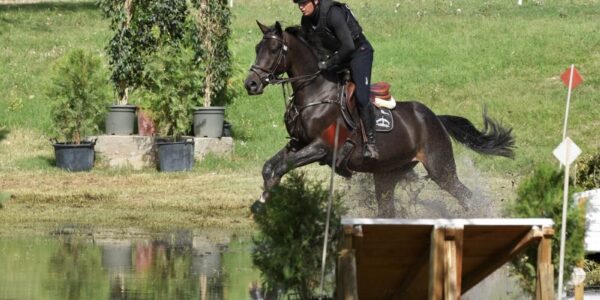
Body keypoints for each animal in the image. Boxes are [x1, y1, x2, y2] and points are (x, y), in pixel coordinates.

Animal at [244, 21, 516, 218]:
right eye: (257, 48)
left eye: (274, 50)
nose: (251, 84)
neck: (316, 93)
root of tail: (435, 119)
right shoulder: (298, 143)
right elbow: (269, 166)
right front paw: (262, 201)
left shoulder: (321, 147)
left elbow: (283, 166)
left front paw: (264, 201)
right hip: (387, 175)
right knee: (388, 210)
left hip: (441, 169)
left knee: (465, 196)